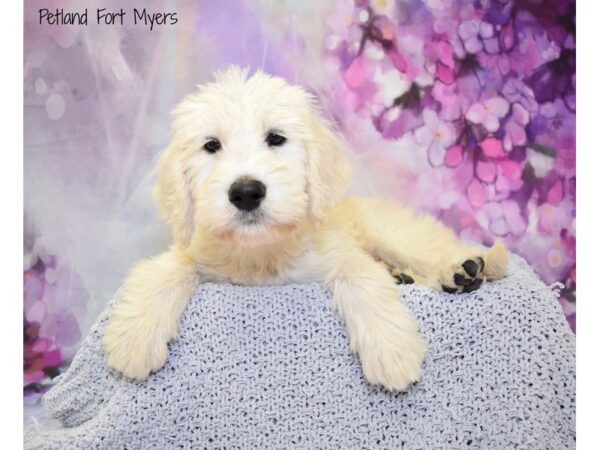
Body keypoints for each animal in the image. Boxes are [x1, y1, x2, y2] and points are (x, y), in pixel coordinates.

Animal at [102, 66, 506, 390]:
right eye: (211, 145)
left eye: (276, 138)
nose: (246, 192)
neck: (262, 251)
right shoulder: (196, 253)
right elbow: (166, 269)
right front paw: (134, 339)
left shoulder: (339, 251)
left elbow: (361, 277)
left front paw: (391, 350)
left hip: (392, 232)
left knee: (434, 248)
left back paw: (462, 270)